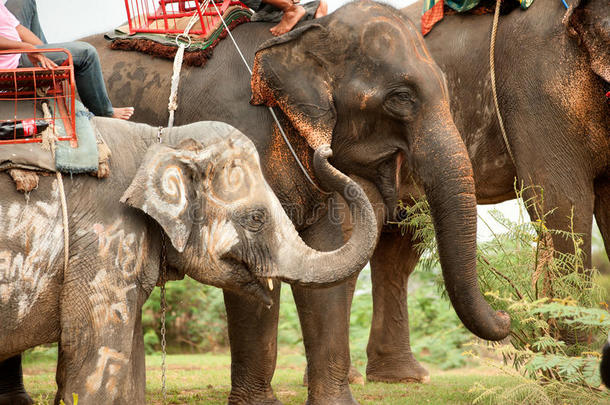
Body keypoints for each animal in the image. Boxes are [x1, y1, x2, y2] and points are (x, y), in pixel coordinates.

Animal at [356, 0, 608, 384]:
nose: (506, 316)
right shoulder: (536, 87)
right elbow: (562, 203)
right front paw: (573, 380)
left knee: (398, 246)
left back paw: (400, 377)